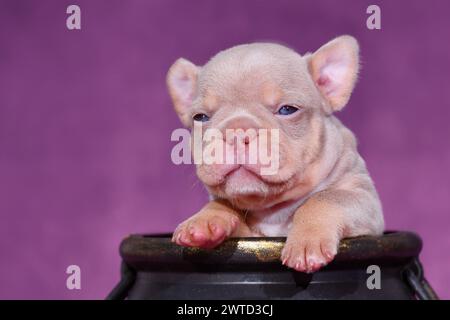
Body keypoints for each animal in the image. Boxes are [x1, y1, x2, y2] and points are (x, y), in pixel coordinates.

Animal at [167, 36, 384, 274]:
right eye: (200, 117)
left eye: (287, 110)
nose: (237, 131)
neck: (273, 210)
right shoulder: (249, 237)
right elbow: (223, 204)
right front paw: (204, 219)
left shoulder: (364, 199)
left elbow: (324, 198)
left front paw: (307, 240)